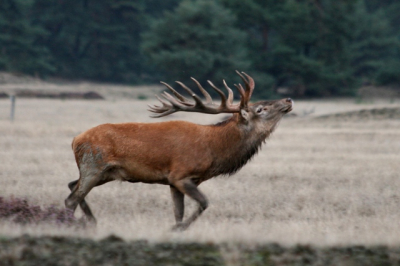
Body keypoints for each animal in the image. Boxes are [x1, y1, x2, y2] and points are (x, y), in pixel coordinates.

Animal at [65, 71, 290, 231]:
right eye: (260, 109)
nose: (288, 100)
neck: (213, 150)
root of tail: (76, 140)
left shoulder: (175, 182)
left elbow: (178, 212)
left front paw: (176, 228)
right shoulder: (180, 175)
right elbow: (204, 203)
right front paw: (177, 229)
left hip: (105, 173)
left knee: (72, 185)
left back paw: (91, 221)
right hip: (93, 165)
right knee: (71, 198)